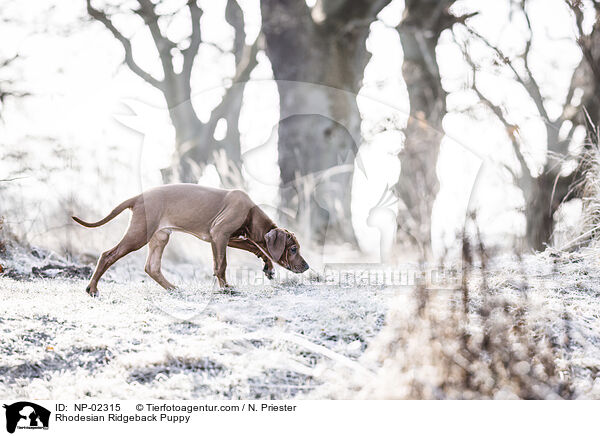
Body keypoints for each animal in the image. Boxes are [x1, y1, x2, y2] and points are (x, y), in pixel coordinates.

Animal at [72, 184, 310, 296]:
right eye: (293, 249)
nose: (307, 267)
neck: (250, 213)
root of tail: (138, 197)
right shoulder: (219, 234)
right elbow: (222, 264)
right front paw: (225, 288)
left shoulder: (230, 237)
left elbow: (256, 247)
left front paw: (268, 266)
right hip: (139, 234)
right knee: (108, 255)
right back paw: (92, 289)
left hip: (160, 236)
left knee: (152, 267)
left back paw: (172, 288)